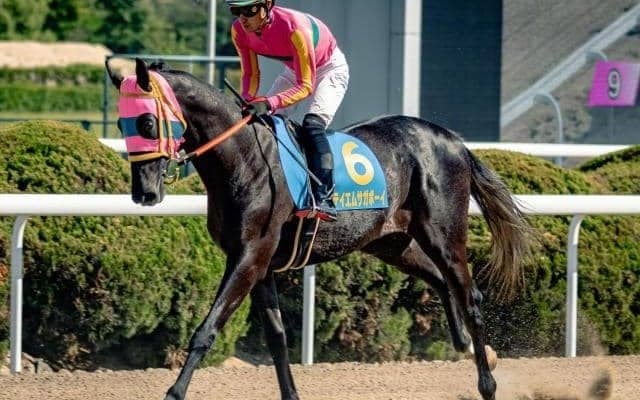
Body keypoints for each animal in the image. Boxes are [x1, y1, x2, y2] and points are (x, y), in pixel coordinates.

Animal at [106, 57, 531, 400]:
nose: (144, 192)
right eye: (121, 123)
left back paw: (487, 383)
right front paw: (290, 393)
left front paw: (173, 393)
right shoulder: (259, 264)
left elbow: (206, 330)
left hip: (443, 234)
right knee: (443, 283)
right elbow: (277, 338)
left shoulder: (248, 256)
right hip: (391, 242)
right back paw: (473, 349)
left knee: (470, 295)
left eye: (146, 121)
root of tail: (455, 142)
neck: (245, 159)